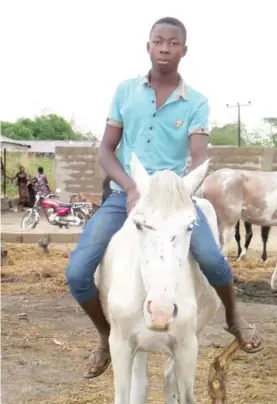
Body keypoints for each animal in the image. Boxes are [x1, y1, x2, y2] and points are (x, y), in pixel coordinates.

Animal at [95, 155, 229, 404]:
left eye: (191, 225)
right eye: (139, 224)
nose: (160, 313)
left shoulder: (187, 347)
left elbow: (184, 394)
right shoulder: (120, 345)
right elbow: (128, 393)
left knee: (168, 378)